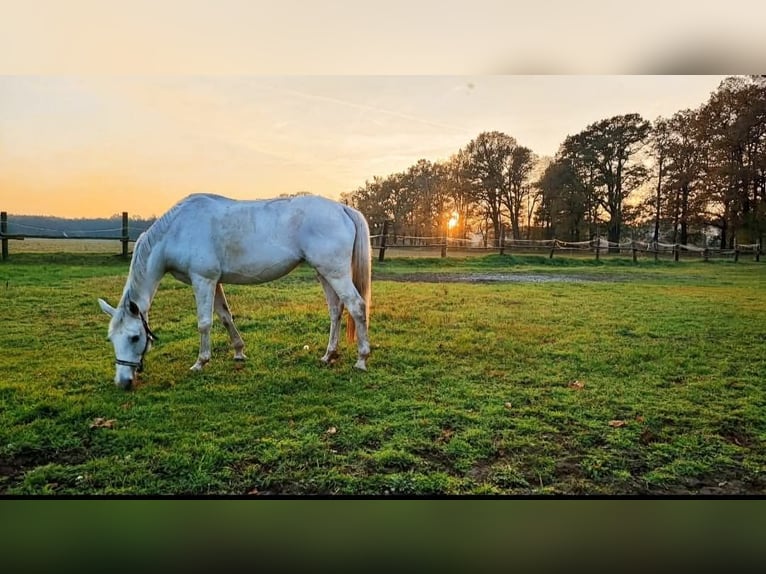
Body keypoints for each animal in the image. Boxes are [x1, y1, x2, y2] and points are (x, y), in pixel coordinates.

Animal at [97, 195, 374, 392]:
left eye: (134, 337)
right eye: (111, 339)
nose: (123, 382)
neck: (178, 230)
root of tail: (343, 209)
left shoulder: (203, 280)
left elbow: (205, 323)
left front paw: (200, 362)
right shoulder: (214, 282)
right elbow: (225, 317)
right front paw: (239, 352)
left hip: (335, 273)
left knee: (357, 307)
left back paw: (361, 359)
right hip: (324, 273)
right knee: (336, 310)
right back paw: (328, 355)